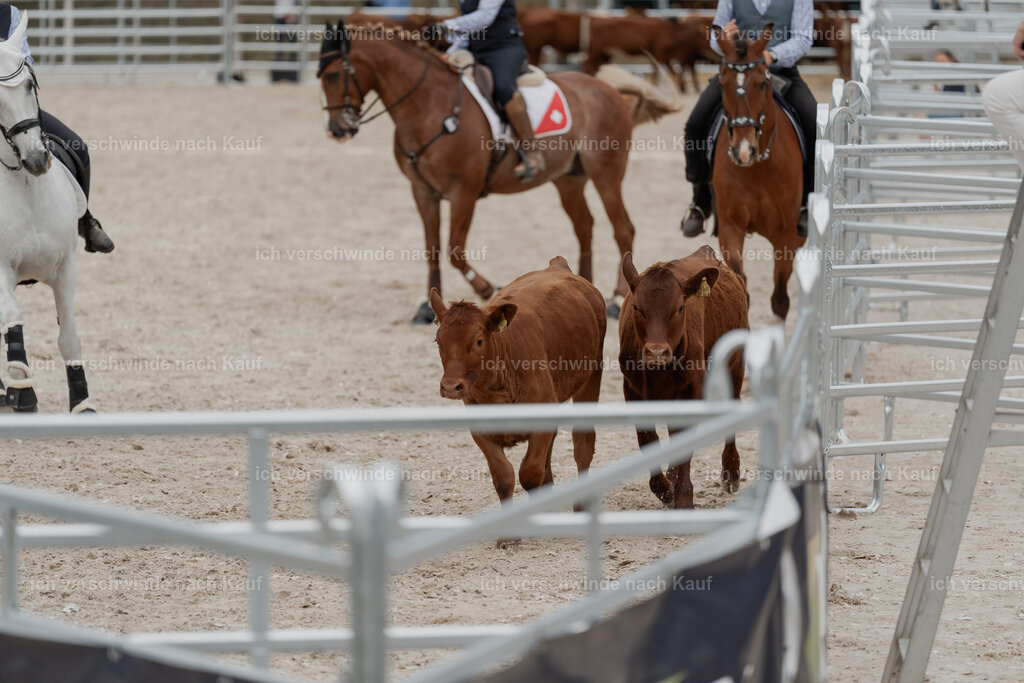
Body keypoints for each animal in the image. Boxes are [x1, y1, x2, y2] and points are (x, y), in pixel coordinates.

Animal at [318, 20, 683, 323]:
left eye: (333, 74)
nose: (337, 129)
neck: (430, 106)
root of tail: (611, 92)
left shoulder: (463, 192)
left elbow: (454, 250)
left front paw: (485, 288)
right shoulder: (423, 192)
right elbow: (432, 248)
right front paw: (426, 307)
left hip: (607, 174)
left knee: (623, 229)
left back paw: (616, 298)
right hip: (569, 181)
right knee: (585, 227)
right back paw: (582, 286)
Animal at [711, 24, 804, 320]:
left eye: (762, 83)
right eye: (722, 84)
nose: (744, 151)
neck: (758, 169)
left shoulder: (786, 236)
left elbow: (780, 300)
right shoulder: (730, 228)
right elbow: (741, 289)